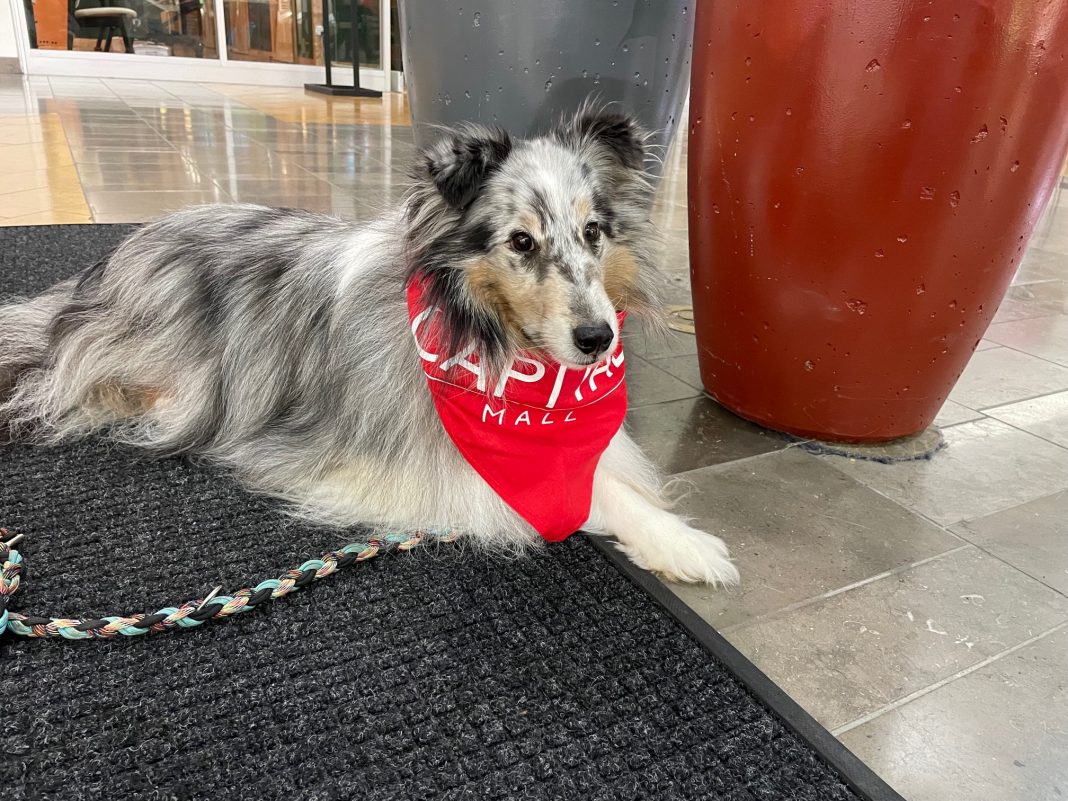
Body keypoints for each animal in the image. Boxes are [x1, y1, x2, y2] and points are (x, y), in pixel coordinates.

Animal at [0, 103, 739, 585]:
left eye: (593, 232)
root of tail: (107, 267)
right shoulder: (449, 467)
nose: (597, 339)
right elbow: (586, 497)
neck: (490, 346)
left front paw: (672, 538)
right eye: (521, 241)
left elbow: (612, 480)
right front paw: (692, 546)